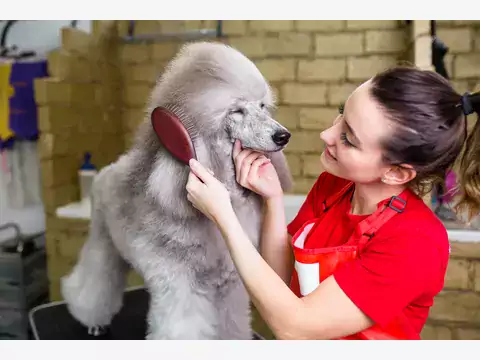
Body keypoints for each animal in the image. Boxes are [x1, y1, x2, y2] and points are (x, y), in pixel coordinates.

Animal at [60, 40, 292, 338]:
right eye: (236, 111)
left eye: (263, 106)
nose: (283, 136)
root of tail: (107, 170)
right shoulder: (181, 286)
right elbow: (181, 326)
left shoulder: (229, 284)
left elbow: (232, 323)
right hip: (103, 239)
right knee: (94, 278)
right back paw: (91, 317)